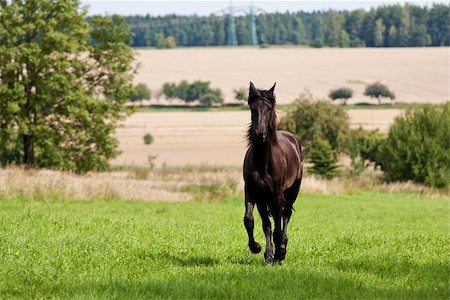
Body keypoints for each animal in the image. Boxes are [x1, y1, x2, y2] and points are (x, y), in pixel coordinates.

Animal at [243, 81, 302, 262]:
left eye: (269, 109)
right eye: (252, 108)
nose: (259, 134)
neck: (263, 163)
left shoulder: (276, 195)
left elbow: (277, 226)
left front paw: (278, 255)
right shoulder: (253, 192)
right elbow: (252, 221)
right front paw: (260, 250)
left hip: (292, 191)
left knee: (285, 215)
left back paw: (282, 249)